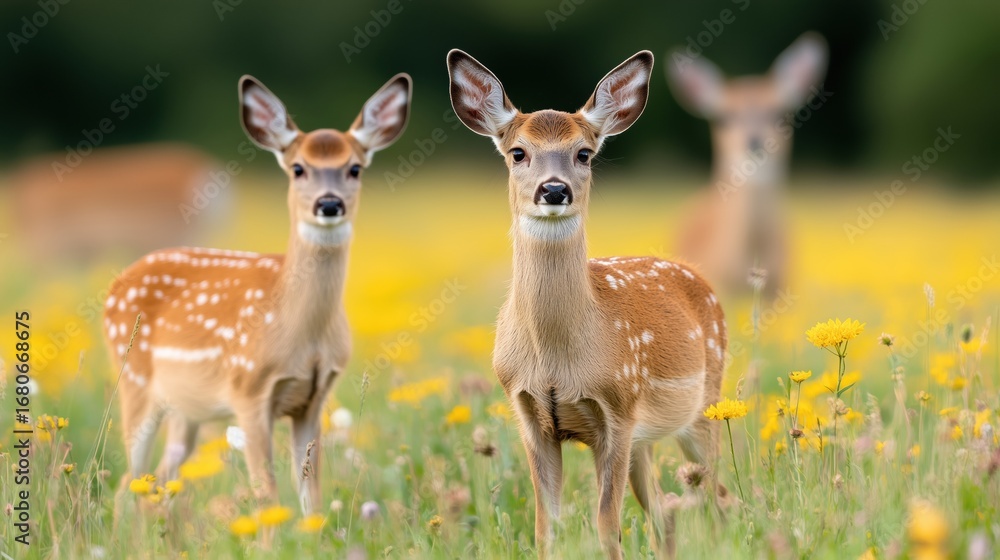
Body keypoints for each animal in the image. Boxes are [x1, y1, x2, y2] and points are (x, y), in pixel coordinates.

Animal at [103, 72, 411, 513]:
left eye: (354, 168)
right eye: (298, 168)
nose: (329, 204)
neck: (300, 332)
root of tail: (117, 283)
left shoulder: (314, 398)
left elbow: (311, 494)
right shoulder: (247, 390)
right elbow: (266, 492)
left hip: (185, 409)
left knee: (158, 480)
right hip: (134, 380)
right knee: (127, 483)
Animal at [448, 49, 728, 559]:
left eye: (584, 153)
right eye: (518, 153)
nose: (554, 190)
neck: (558, 357)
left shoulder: (617, 408)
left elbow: (605, 524)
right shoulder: (528, 410)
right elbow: (547, 525)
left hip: (705, 405)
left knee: (719, 497)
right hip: (648, 439)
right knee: (666, 511)